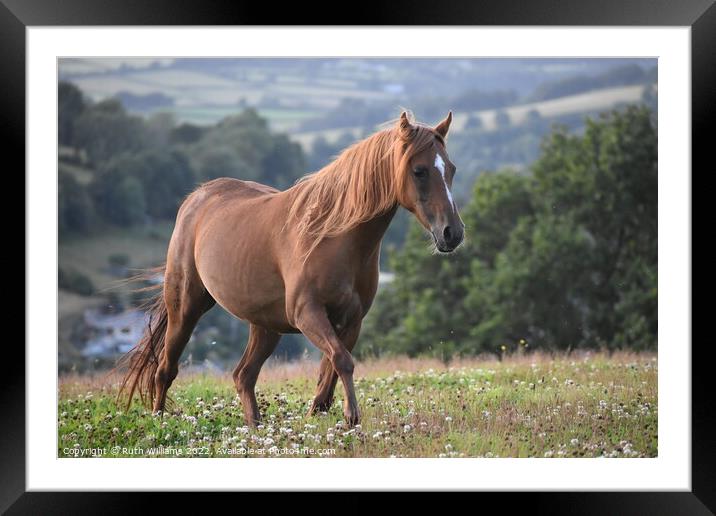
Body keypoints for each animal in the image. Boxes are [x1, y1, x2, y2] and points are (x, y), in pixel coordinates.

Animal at [119, 111, 464, 426]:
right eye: (419, 171)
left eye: (452, 170)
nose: (453, 233)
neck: (334, 236)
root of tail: (197, 197)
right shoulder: (307, 313)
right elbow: (342, 361)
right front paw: (352, 416)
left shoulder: (351, 321)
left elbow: (330, 373)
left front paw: (321, 414)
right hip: (186, 307)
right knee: (166, 369)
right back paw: (159, 421)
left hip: (265, 326)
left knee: (243, 376)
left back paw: (255, 426)